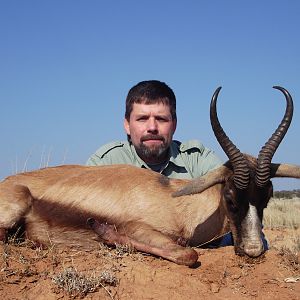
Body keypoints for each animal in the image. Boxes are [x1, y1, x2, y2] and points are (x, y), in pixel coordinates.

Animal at [0, 86, 298, 264]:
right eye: (231, 199)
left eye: (266, 198)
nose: (253, 250)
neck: (179, 205)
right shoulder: (138, 228)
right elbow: (188, 253)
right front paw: (105, 232)